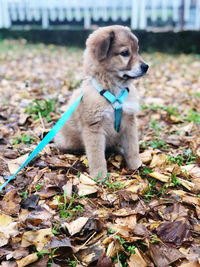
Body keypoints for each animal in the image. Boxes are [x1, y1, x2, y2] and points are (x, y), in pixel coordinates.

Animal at [54, 25, 148, 180]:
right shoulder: (94, 128)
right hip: (67, 142)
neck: (113, 90)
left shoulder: (129, 122)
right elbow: (97, 156)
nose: (146, 66)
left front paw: (136, 166)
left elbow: (133, 147)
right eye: (125, 53)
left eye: (137, 50)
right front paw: (100, 177)